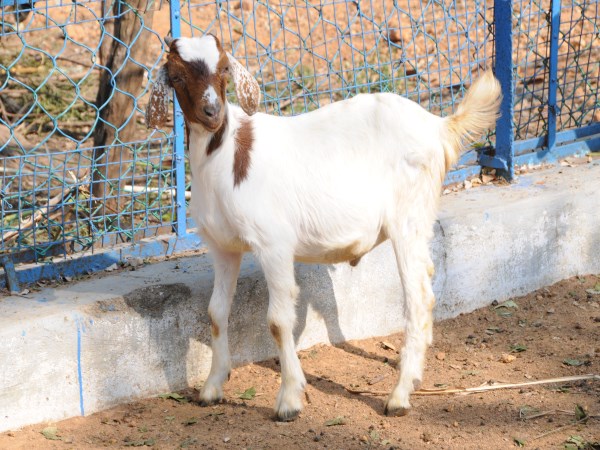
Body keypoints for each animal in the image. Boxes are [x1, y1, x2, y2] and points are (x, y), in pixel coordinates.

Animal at [146, 34, 502, 422]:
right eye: (176, 77)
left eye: (224, 68)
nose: (212, 113)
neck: (226, 155)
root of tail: (438, 126)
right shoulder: (223, 248)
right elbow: (215, 312)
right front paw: (212, 388)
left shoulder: (273, 244)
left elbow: (278, 321)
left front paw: (289, 399)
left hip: (407, 218)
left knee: (418, 297)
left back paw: (400, 394)